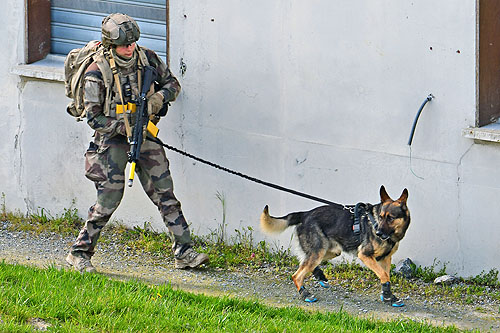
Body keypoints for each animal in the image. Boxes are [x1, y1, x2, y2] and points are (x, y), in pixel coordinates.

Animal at [260, 184, 408, 306]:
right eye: (381, 217)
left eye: (391, 218)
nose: (378, 233)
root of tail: (305, 214)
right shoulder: (365, 255)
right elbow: (383, 275)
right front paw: (388, 296)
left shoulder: (385, 259)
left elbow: (386, 276)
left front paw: (389, 296)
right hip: (319, 251)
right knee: (297, 275)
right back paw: (305, 294)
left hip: (328, 251)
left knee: (305, 262)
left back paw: (319, 275)